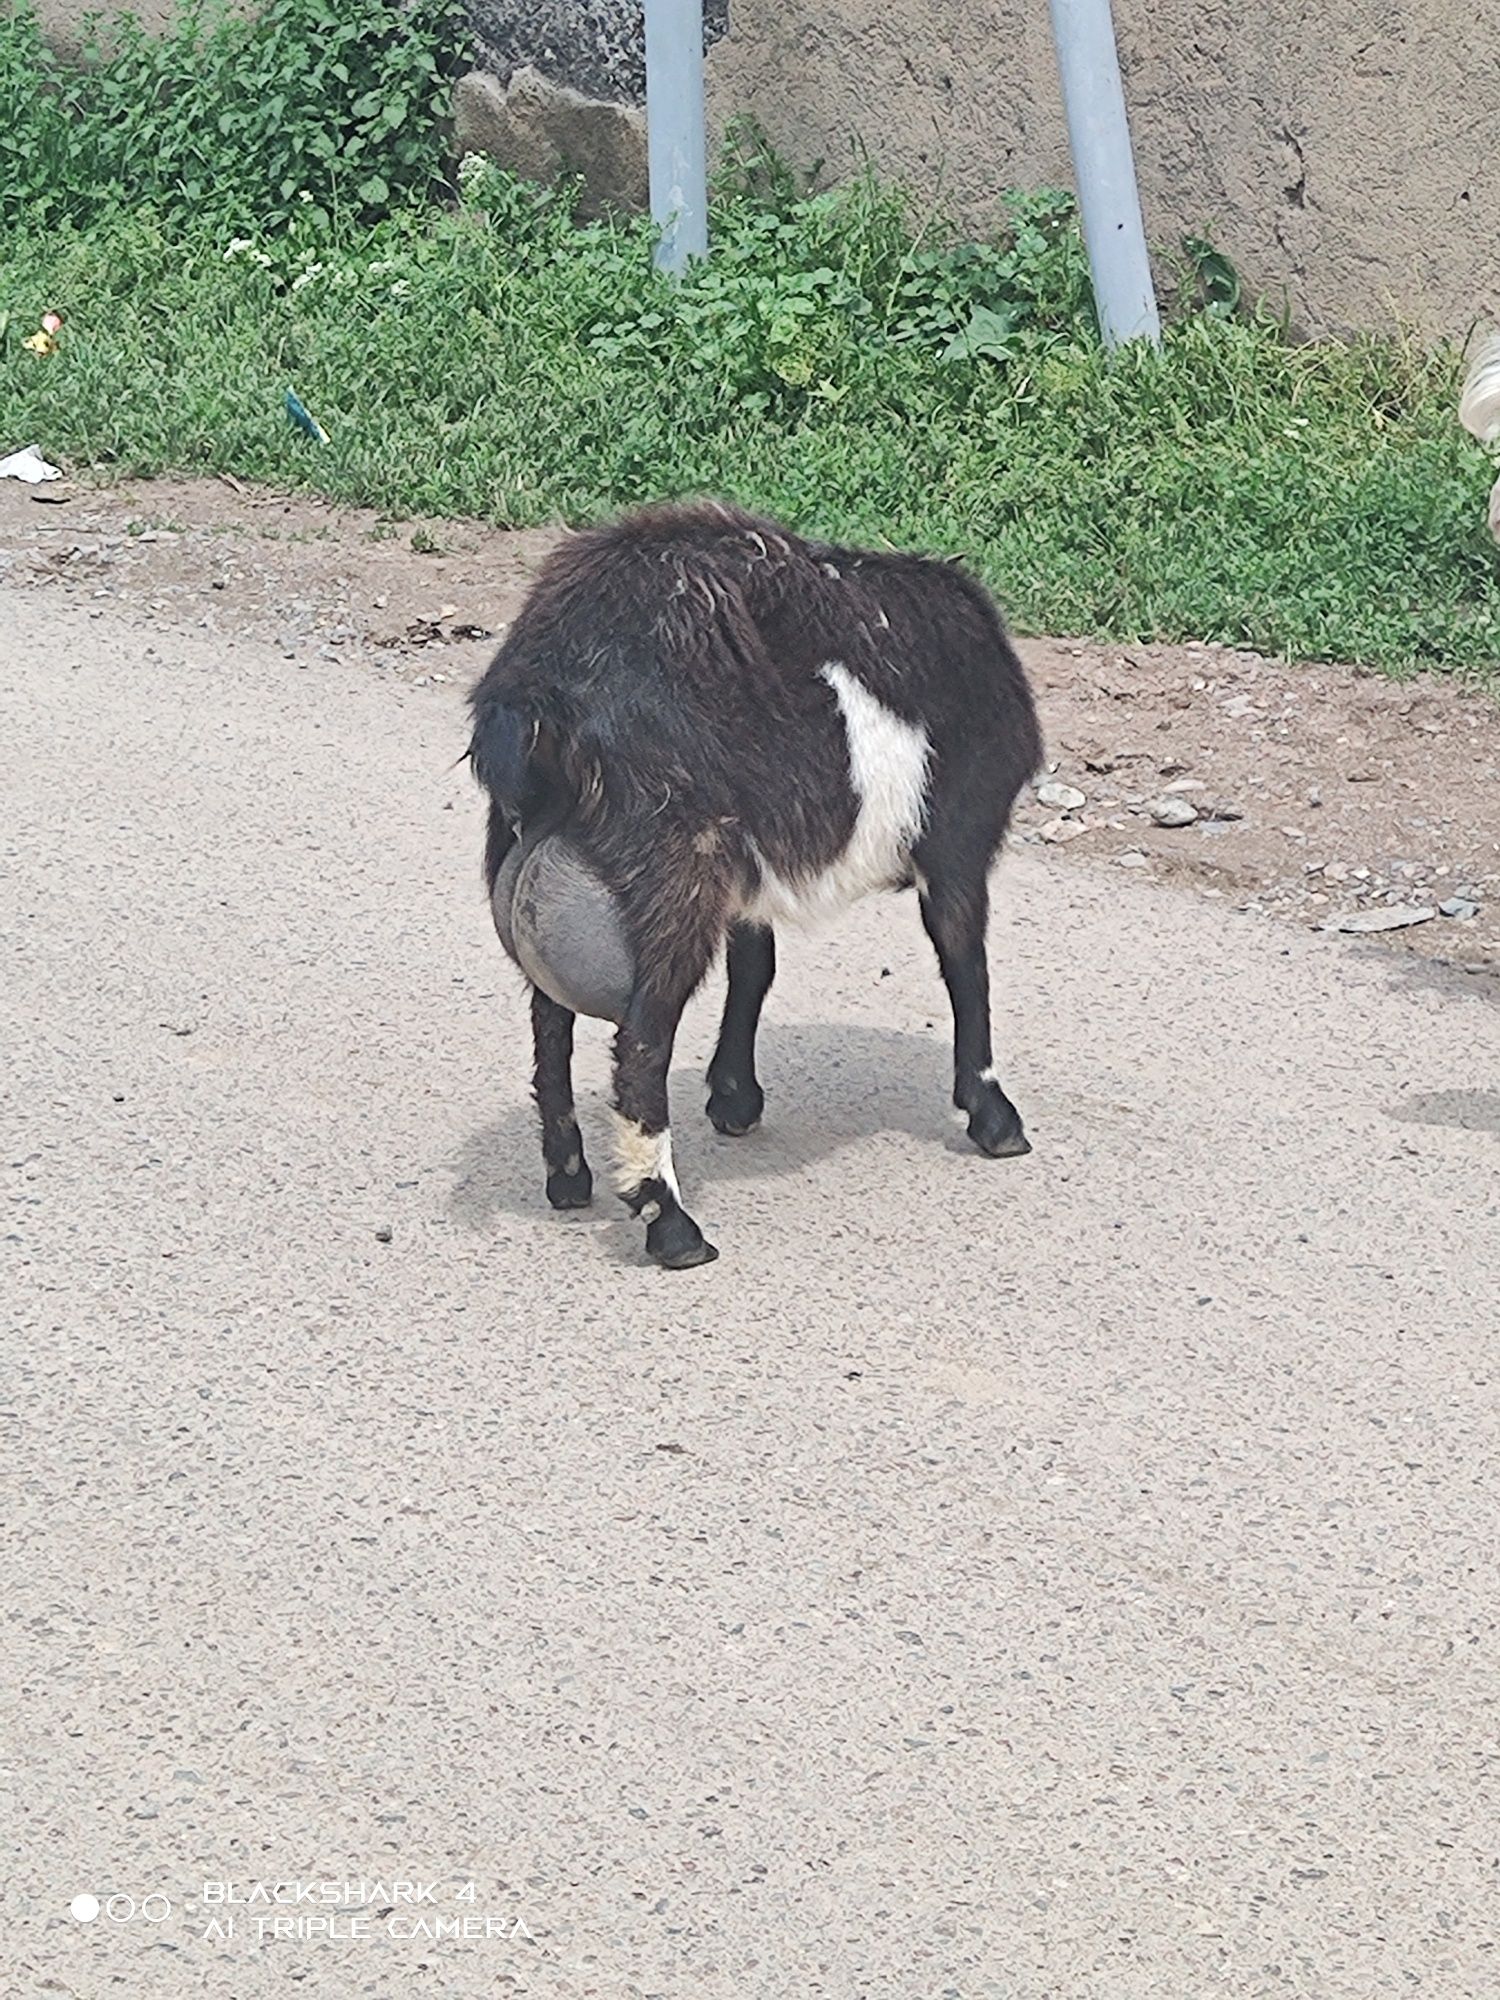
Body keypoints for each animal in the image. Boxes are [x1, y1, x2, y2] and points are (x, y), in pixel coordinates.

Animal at [472, 508, 1048, 1272]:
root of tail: (535, 702)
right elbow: (966, 965)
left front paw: (734, 1099)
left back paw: (568, 1176)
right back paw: (674, 1228)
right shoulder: (958, 842)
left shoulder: (749, 876)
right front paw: (994, 1115)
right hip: (673, 874)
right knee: (640, 1046)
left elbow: (754, 966)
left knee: (549, 1017)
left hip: (549, 867)